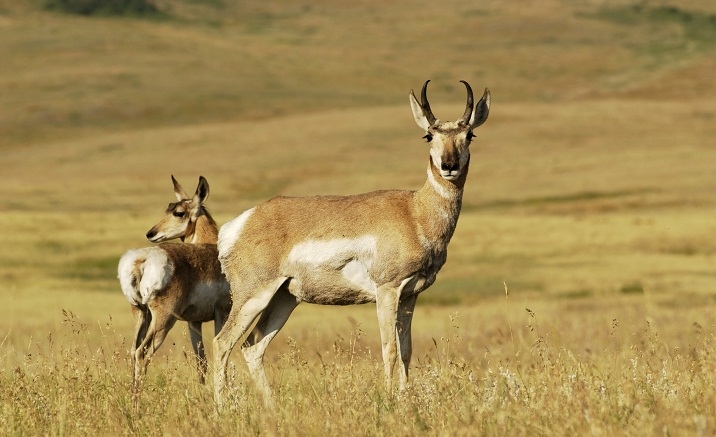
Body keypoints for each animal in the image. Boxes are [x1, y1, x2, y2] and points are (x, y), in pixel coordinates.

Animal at [117, 175, 229, 384]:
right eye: (168, 210)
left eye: (178, 212)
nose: (151, 233)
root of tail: (141, 259)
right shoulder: (222, 313)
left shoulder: (194, 321)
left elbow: (201, 362)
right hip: (164, 319)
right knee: (142, 353)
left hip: (141, 314)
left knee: (133, 351)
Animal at [215, 80, 490, 404]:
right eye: (429, 135)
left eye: (469, 135)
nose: (449, 165)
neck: (415, 211)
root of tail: (241, 223)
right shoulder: (387, 290)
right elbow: (389, 349)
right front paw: (389, 400)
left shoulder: (410, 296)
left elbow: (407, 351)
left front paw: (405, 399)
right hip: (254, 296)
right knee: (222, 343)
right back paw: (221, 407)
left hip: (284, 298)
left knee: (252, 348)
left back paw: (270, 407)